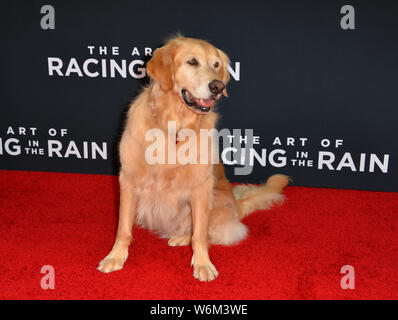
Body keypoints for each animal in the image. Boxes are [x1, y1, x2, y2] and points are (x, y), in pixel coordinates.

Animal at [97, 35, 288, 280]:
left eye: (216, 65)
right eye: (192, 62)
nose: (218, 86)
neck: (175, 126)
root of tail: (237, 207)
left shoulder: (201, 187)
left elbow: (200, 234)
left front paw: (202, 263)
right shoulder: (128, 179)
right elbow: (122, 228)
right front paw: (115, 256)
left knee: (206, 232)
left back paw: (182, 238)